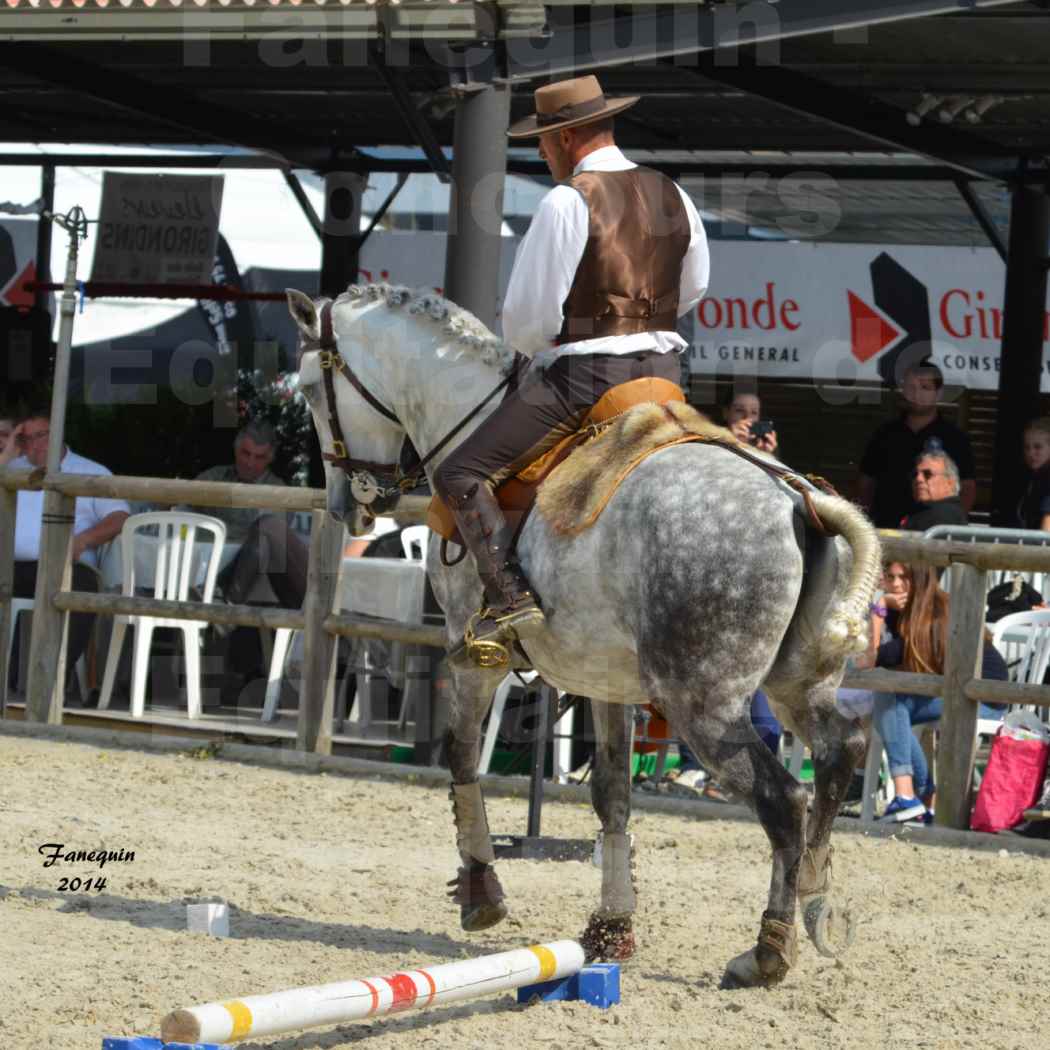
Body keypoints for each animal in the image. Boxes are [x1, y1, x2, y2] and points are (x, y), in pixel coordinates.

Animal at [285, 283, 877, 986]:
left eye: (310, 391)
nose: (347, 503)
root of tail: (799, 503)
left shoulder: (474, 656)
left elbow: (460, 756)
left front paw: (481, 893)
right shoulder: (605, 681)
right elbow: (611, 794)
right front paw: (611, 928)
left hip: (703, 703)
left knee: (783, 799)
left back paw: (766, 951)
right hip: (795, 685)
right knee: (841, 749)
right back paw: (817, 904)